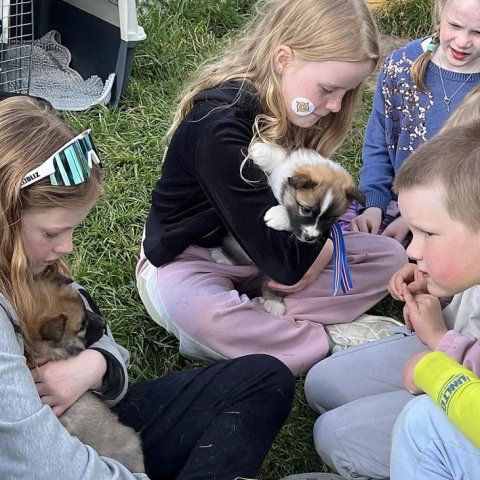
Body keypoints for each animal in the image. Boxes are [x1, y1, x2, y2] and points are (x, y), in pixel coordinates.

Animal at [212, 142, 362, 316]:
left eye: (330, 219)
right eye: (306, 210)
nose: (310, 238)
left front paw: (277, 216)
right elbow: (280, 158)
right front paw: (260, 150)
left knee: (271, 284)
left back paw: (273, 302)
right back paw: (223, 257)